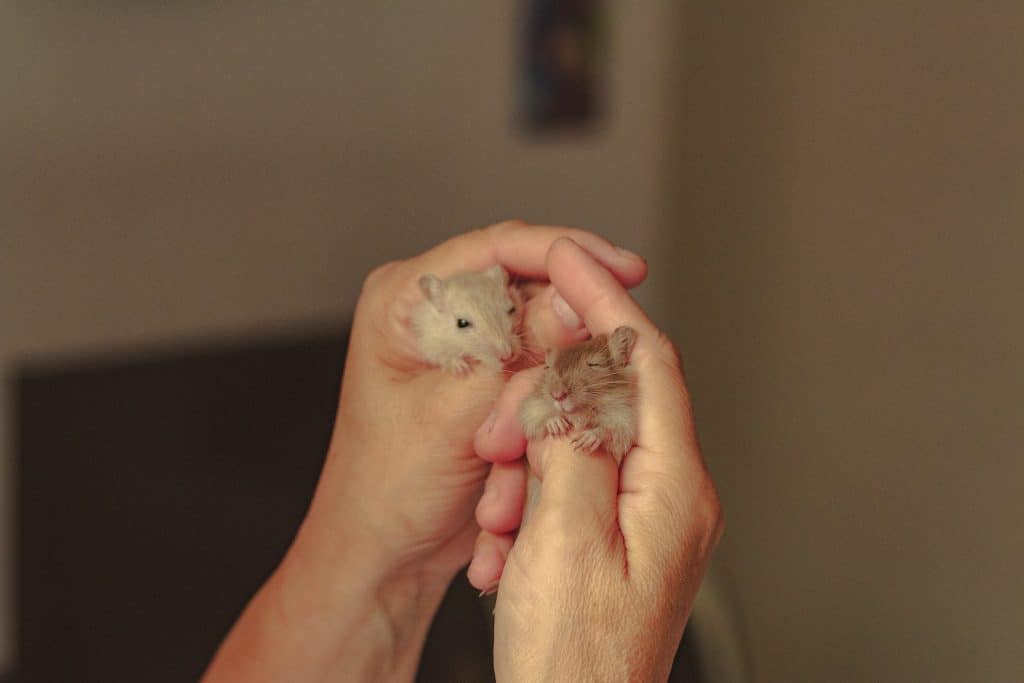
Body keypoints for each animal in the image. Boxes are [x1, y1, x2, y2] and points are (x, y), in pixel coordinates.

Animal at [520, 325, 638, 462]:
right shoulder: (532, 408)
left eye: (594, 364)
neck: (579, 413)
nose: (557, 395)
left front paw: (586, 440)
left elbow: (610, 431)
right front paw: (557, 425)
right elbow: (538, 416)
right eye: (547, 367)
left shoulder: (623, 421)